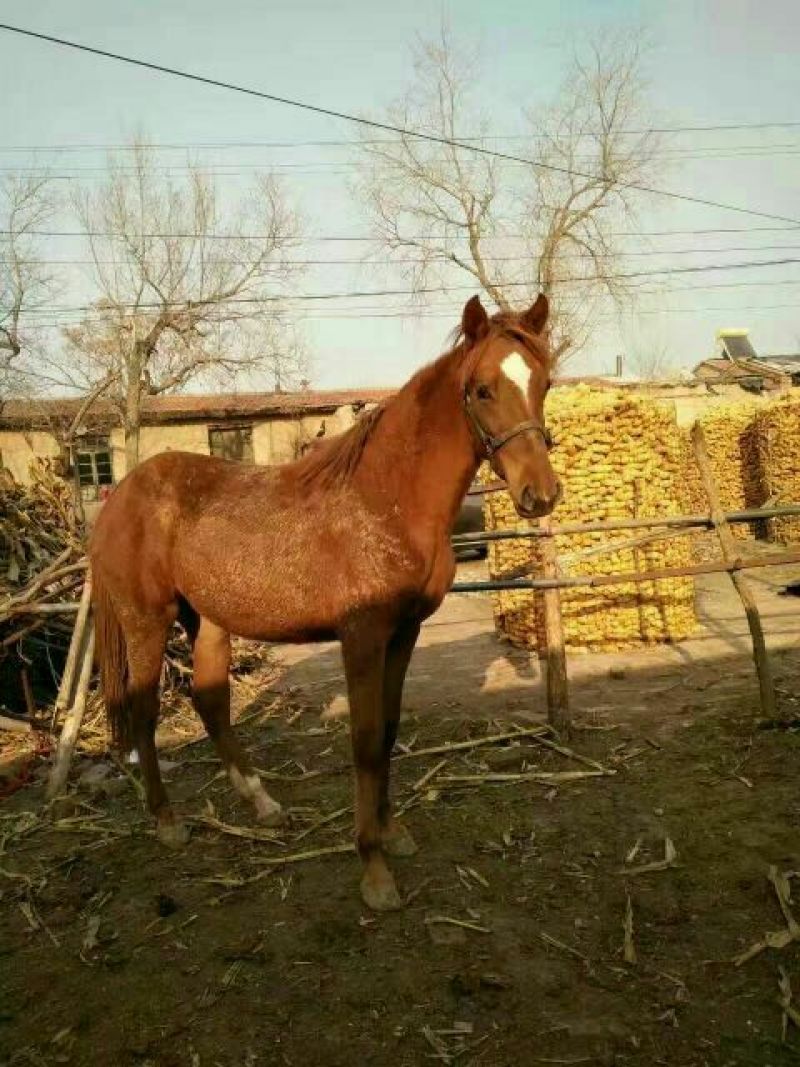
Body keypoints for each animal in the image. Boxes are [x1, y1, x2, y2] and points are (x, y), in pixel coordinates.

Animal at [89, 292, 560, 911]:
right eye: (482, 389)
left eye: (544, 383)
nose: (540, 494)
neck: (388, 499)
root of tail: (119, 496)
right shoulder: (361, 638)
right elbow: (364, 741)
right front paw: (374, 870)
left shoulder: (403, 633)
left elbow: (388, 731)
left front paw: (393, 832)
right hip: (148, 621)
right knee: (145, 713)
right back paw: (168, 822)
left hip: (208, 621)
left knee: (210, 702)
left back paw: (262, 803)